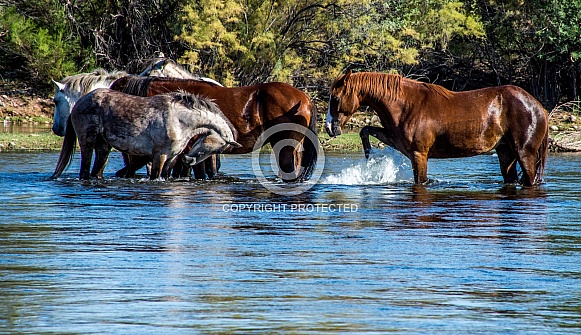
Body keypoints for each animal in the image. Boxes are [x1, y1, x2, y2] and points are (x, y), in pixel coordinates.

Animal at [326, 72, 548, 186]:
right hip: (506, 153)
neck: (406, 104)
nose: (329, 127)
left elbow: (421, 181)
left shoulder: (419, 154)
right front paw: (368, 157)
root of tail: (539, 107)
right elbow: (365, 130)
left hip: (525, 154)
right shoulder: (397, 141)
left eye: (335, 98)